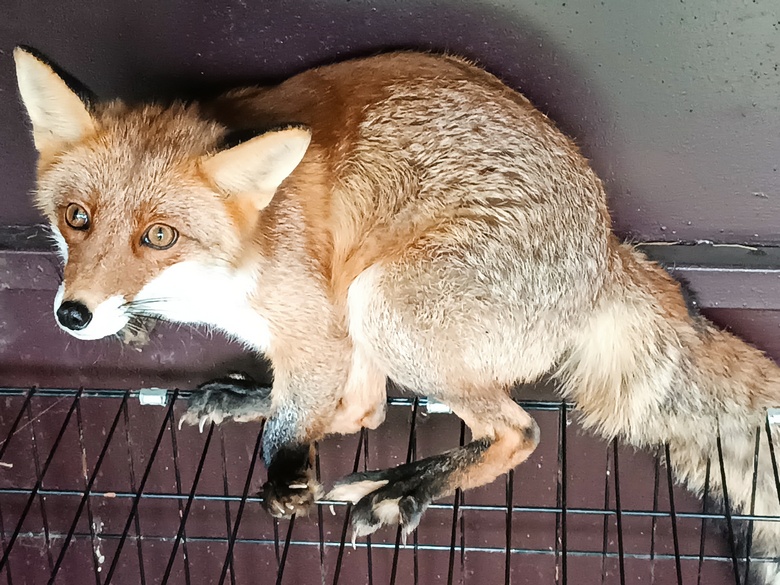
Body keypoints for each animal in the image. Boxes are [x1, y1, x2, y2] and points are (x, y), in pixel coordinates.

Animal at [12, 45, 780, 581]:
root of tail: (608, 251)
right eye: (76, 219)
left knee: (517, 431)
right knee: (368, 410)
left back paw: (406, 488)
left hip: (380, 305)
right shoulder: (317, 338)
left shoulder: (318, 324)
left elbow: (300, 419)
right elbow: (318, 405)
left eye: (159, 236)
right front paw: (261, 408)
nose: (74, 315)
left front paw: (285, 472)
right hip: (370, 316)